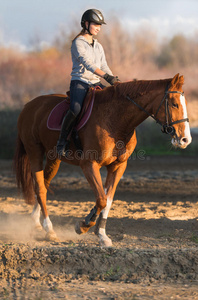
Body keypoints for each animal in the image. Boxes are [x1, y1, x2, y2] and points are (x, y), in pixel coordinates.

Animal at [14, 74, 192, 247]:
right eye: (175, 104)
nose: (185, 140)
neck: (116, 120)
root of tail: (29, 105)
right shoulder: (89, 165)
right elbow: (101, 199)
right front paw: (84, 225)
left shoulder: (118, 166)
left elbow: (108, 200)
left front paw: (101, 235)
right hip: (35, 152)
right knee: (40, 189)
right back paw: (49, 230)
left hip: (54, 158)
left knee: (44, 184)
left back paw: (37, 222)